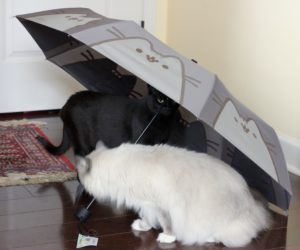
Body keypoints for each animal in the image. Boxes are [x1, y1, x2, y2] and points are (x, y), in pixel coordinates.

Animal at [36, 86, 179, 156]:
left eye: (173, 101)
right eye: (160, 100)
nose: (167, 106)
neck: (162, 123)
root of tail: (66, 104)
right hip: (84, 141)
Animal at [75, 142, 272, 247]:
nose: (77, 181)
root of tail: (255, 207)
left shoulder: (161, 206)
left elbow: (167, 225)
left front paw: (167, 238)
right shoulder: (147, 205)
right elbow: (147, 219)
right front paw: (142, 226)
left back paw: (208, 238)